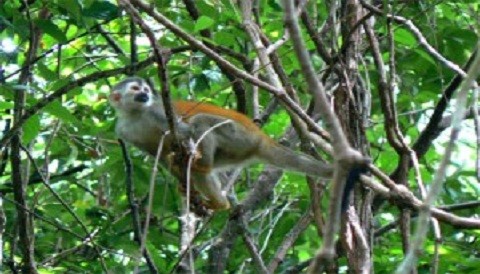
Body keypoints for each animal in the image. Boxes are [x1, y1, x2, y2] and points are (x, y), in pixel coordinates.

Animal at [109, 78, 334, 211]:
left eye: (146, 89)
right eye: (136, 89)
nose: (145, 94)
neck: (136, 114)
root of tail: (260, 137)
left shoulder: (155, 111)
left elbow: (183, 132)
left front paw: (185, 155)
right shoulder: (124, 130)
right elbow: (161, 156)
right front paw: (181, 179)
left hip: (238, 135)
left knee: (200, 121)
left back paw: (203, 167)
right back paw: (217, 200)